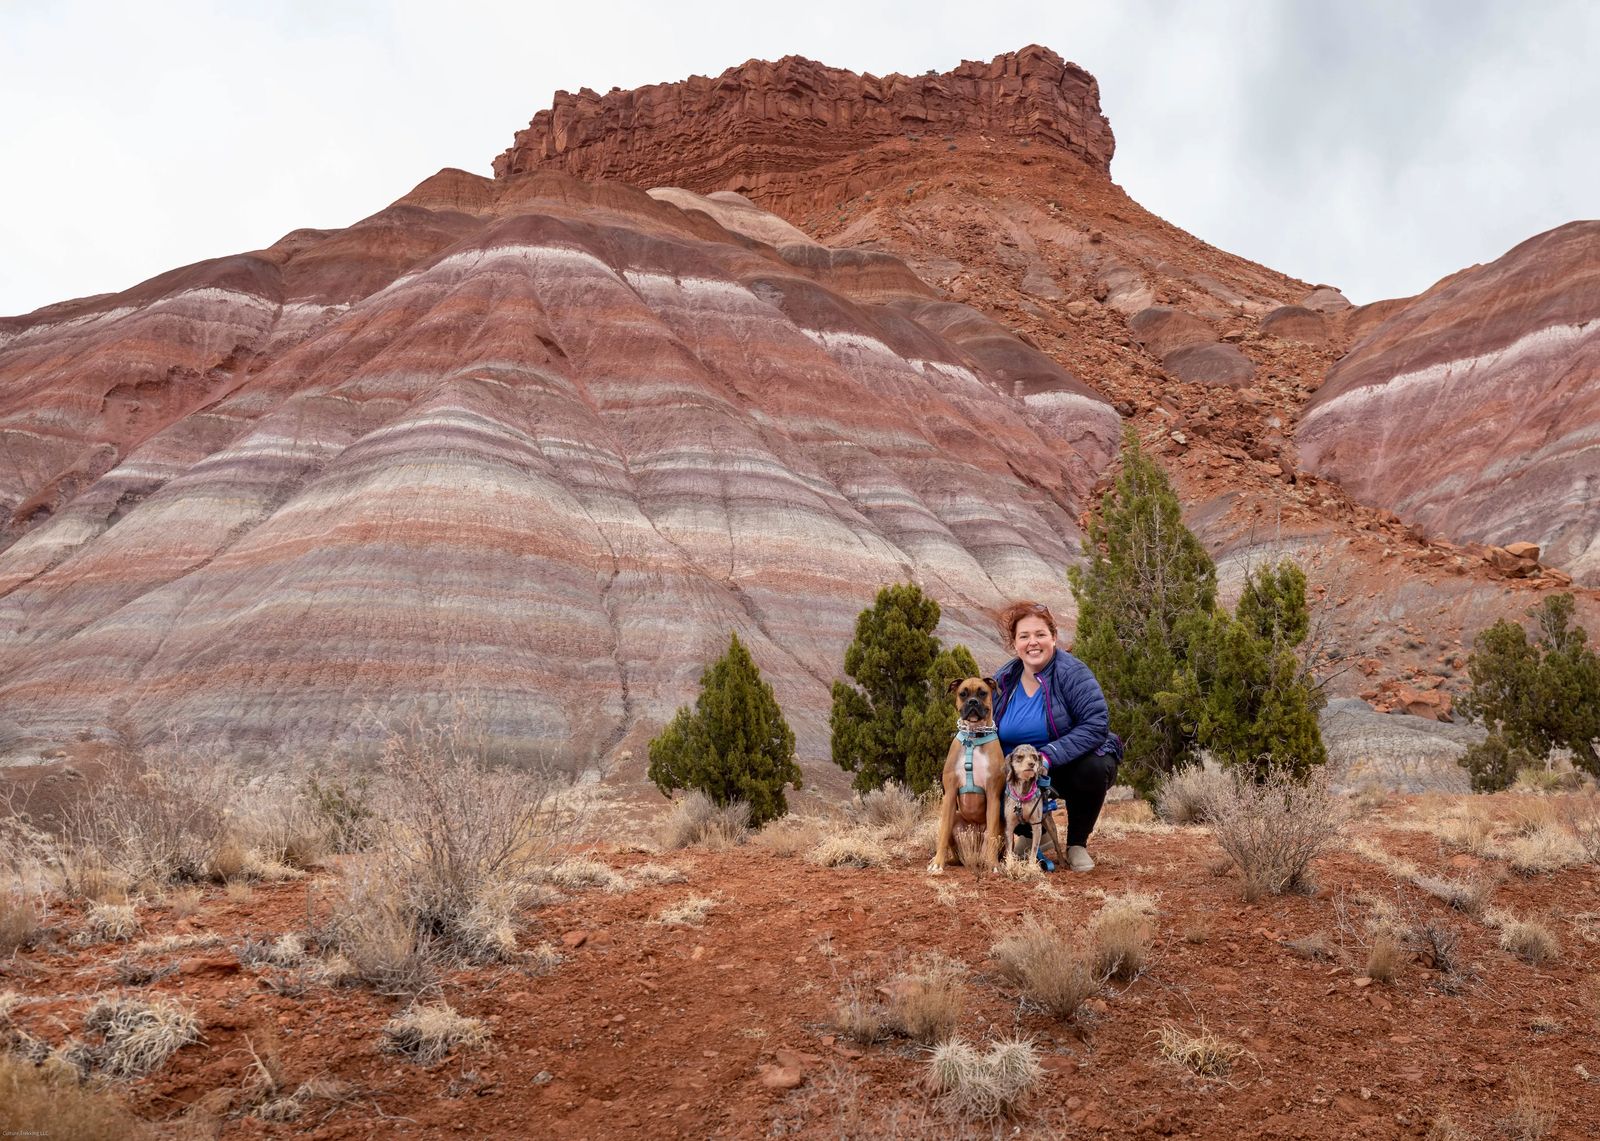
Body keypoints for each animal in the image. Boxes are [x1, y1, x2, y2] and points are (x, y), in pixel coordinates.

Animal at [928, 675, 998, 870]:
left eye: (982, 693)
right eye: (963, 693)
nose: (972, 701)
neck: (973, 738)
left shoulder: (993, 795)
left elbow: (992, 835)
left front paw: (993, 864)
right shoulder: (950, 794)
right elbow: (943, 833)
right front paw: (937, 863)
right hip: (956, 818)